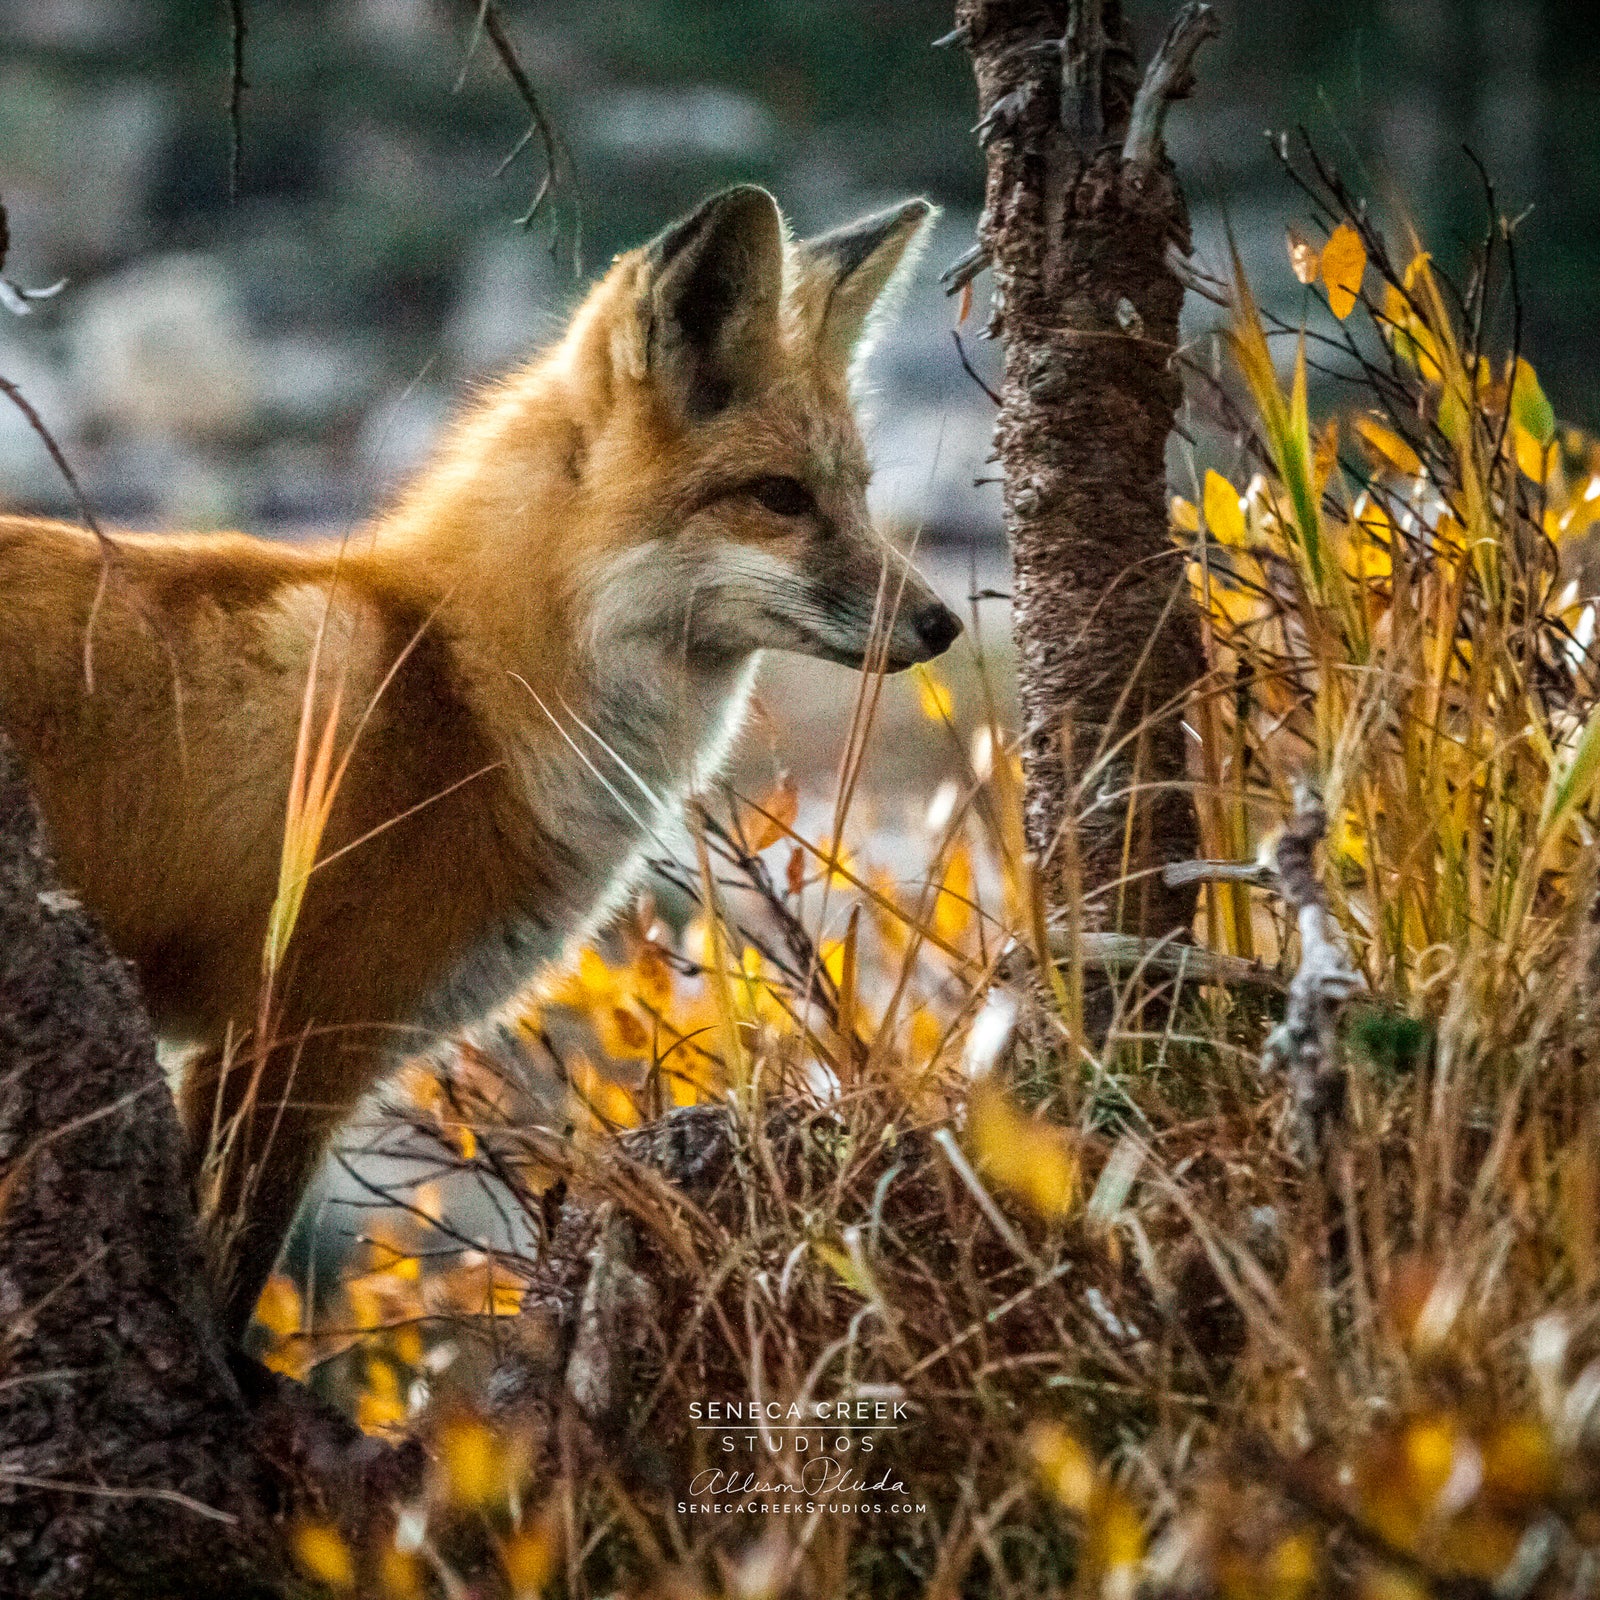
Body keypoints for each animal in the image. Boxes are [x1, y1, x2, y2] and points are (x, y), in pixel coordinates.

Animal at [0, 185, 960, 1341]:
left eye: (858, 490)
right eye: (778, 496)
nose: (945, 622)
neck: (469, 694)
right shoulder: (284, 1041)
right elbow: (229, 1279)